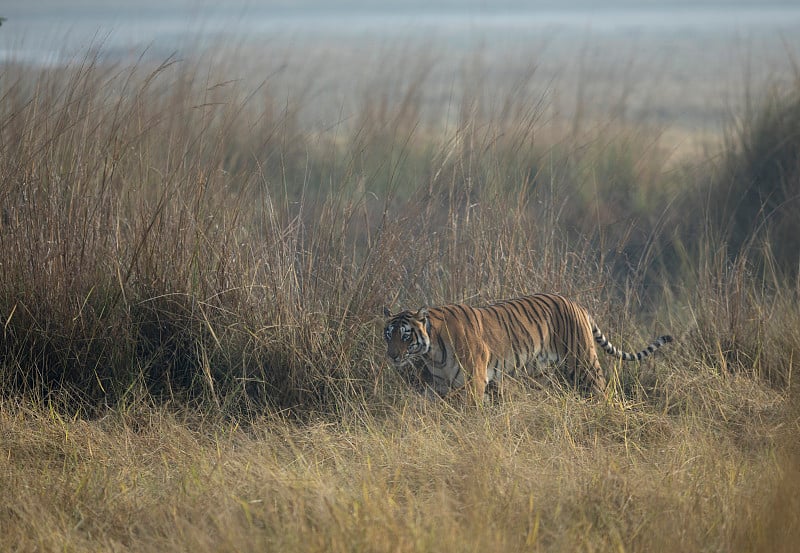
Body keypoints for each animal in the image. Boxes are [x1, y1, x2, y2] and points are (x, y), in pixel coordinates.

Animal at [384, 292, 672, 404]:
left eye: (406, 336)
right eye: (388, 335)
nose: (393, 356)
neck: (432, 352)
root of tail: (576, 304)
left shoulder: (474, 380)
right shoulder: (441, 386)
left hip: (584, 363)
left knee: (600, 388)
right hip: (544, 371)